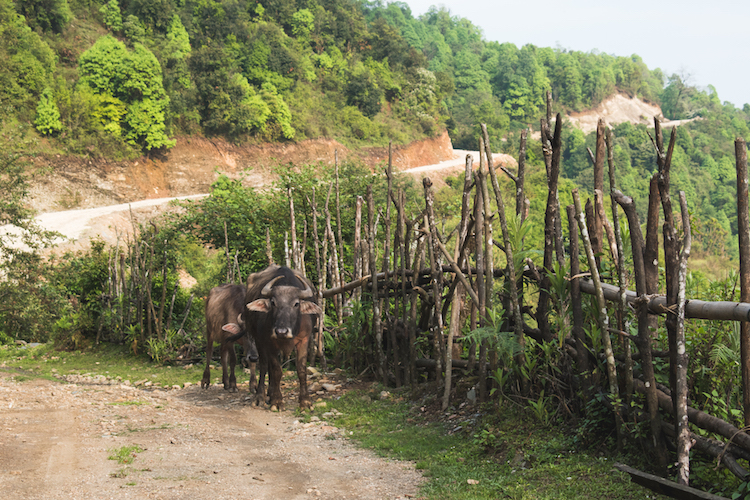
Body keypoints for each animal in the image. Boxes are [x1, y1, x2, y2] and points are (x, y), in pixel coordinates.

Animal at [242, 266, 322, 410]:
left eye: (296, 303)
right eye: (273, 302)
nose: (281, 332)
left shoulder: (304, 340)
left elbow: (301, 369)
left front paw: (305, 401)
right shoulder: (269, 341)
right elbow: (277, 370)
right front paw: (277, 401)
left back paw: (270, 393)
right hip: (258, 339)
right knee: (264, 365)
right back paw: (261, 397)